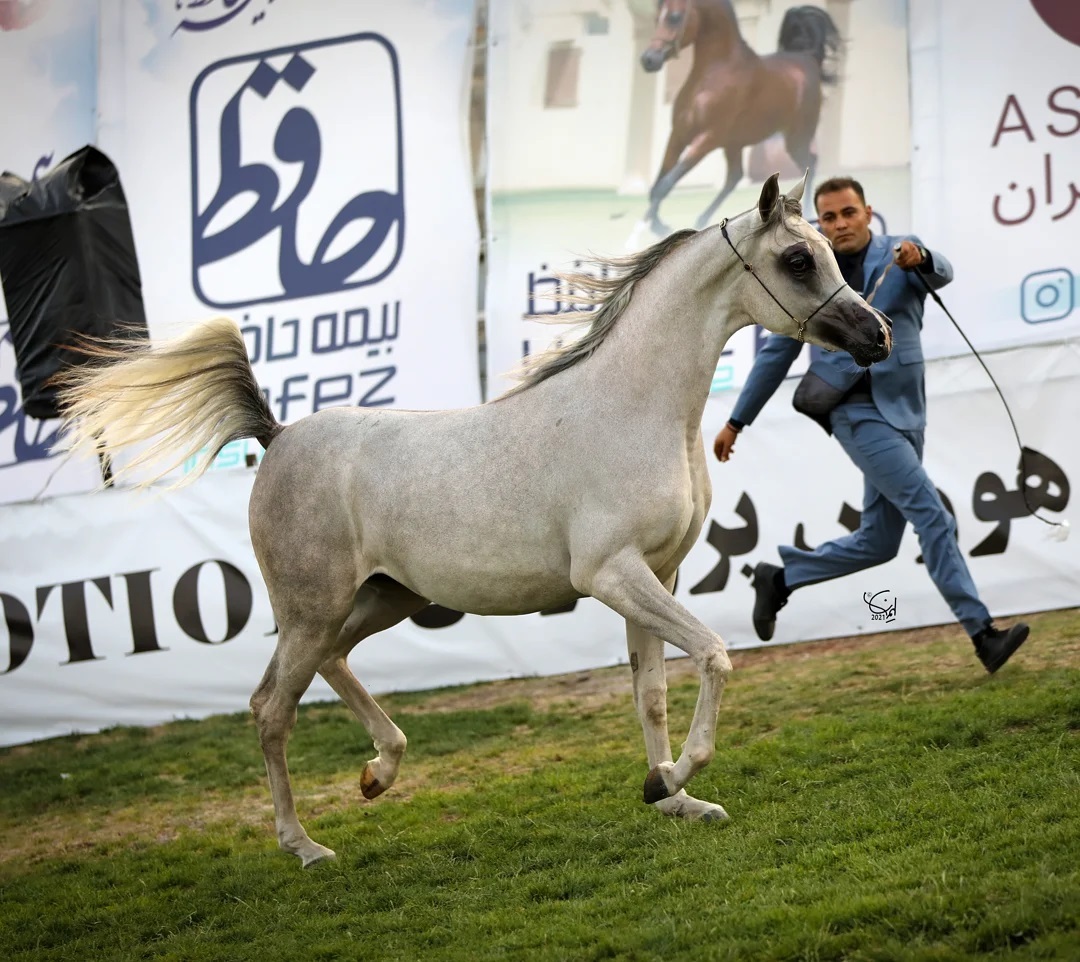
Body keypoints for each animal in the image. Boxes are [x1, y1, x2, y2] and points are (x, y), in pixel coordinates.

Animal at [54, 172, 889, 863]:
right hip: (312, 607)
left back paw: (379, 773)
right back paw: (306, 846)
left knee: (329, 667)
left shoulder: (659, 575)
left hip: (384, 597)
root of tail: (279, 435)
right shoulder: (613, 574)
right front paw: (670, 783)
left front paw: (674, 798)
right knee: (270, 709)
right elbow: (715, 656)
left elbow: (650, 693)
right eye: (798, 259)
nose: (875, 334)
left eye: (829, 246)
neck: (636, 409)